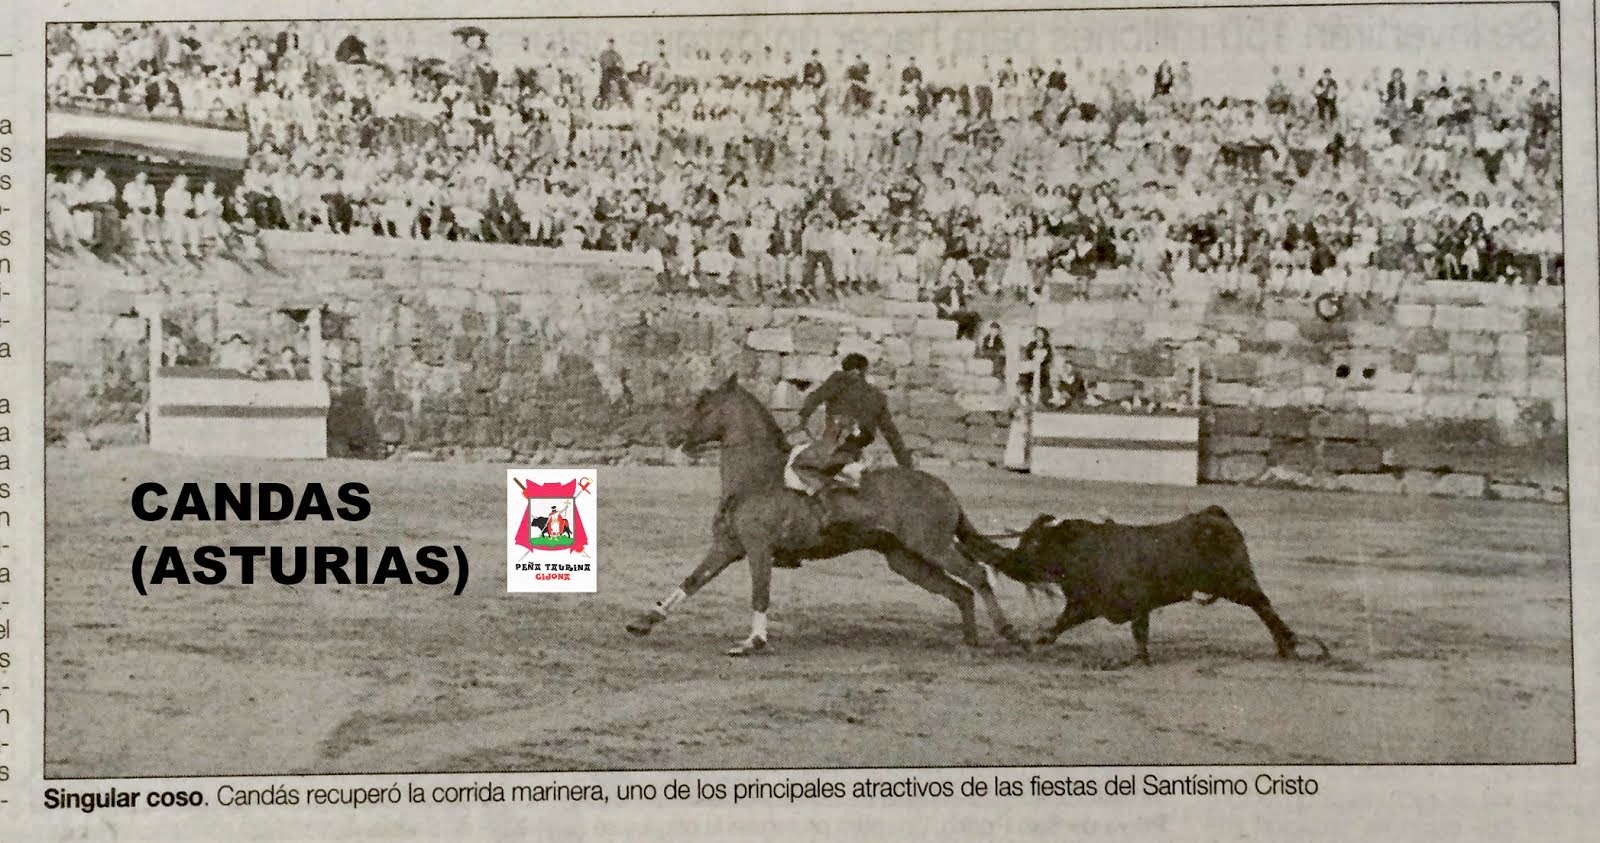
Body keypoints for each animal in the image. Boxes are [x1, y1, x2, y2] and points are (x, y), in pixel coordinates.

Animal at [624, 372, 1024, 655]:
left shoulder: (758, 549)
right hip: (906, 560)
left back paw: (1010, 632)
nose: (672, 435)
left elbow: (759, 593)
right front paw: (644, 621)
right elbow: (692, 581)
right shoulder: (727, 547)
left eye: (702, 403)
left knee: (977, 576)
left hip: (933, 547)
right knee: (961, 591)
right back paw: (970, 642)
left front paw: (753, 642)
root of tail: (944, 488)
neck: (756, 475)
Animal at [972, 508, 1324, 665]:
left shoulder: (1137, 603)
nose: (1010, 562)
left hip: (1237, 582)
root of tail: (1215, 515)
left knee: (1264, 606)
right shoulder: (1087, 603)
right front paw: (1039, 641)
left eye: (1035, 544)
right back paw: (1287, 647)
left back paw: (1290, 646)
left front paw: (1138, 660)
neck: (1083, 551)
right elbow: (1061, 624)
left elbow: (1139, 632)